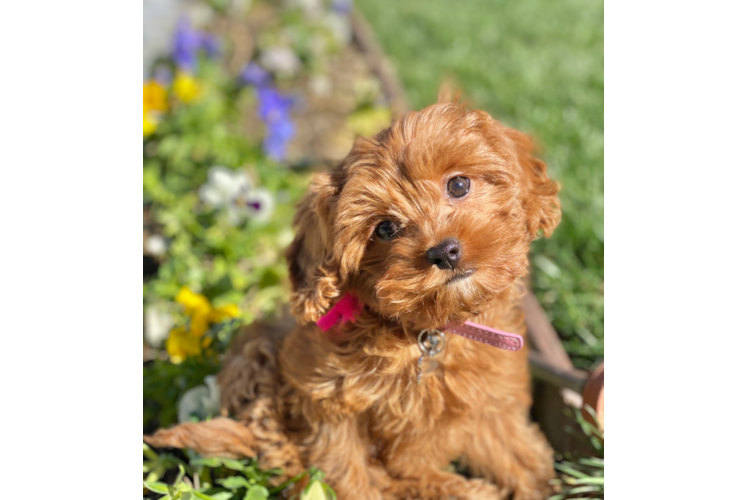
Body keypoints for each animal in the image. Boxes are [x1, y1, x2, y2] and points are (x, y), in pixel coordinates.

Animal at [146, 97, 560, 500]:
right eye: (385, 229)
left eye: (458, 185)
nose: (445, 252)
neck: (428, 332)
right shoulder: (324, 398)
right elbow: (347, 472)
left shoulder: (491, 403)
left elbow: (518, 456)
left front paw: (541, 487)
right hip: (256, 358)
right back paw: (460, 489)